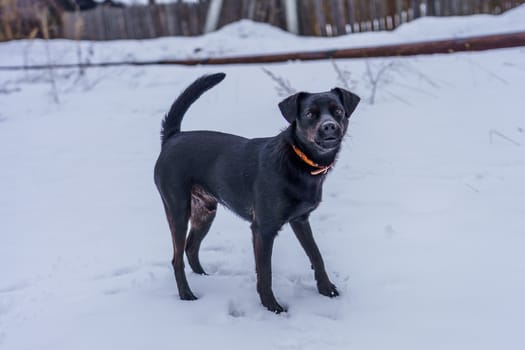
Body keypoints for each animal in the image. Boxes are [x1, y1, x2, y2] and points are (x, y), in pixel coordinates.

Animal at [154, 72, 358, 314]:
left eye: (338, 111)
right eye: (310, 114)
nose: (329, 127)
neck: (298, 159)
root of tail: (173, 137)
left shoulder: (300, 220)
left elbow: (316, 255)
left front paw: (327, 290)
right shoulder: (263, 229)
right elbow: (265, 271)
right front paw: (271, 306)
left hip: (205, 211)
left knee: (191, 248)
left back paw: (204, 278)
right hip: (177, 209)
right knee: (177, 258)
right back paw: (186, 294)